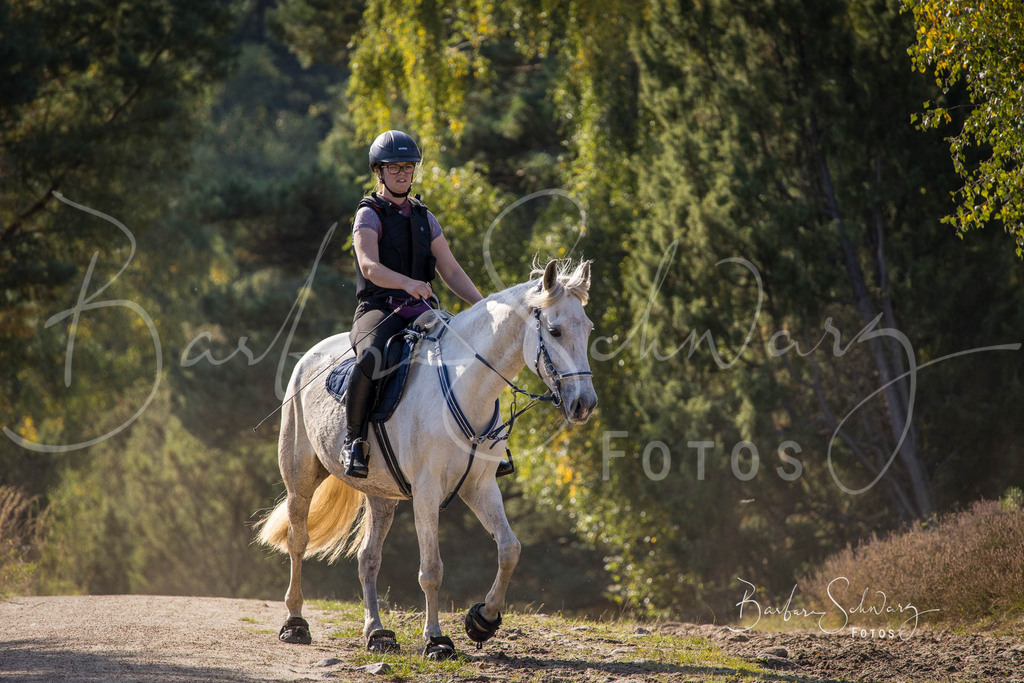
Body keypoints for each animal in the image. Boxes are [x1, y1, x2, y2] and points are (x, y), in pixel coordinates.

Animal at [256, 259, 598, 658]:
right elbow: (431, 570)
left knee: (368, 559)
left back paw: (377, 633)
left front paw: (482, 620)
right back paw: (295, 624)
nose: (584, 404)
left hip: (381, 496)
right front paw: (436, 639)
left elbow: (509, 549)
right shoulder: (427, 492)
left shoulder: (480, 487)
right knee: (298, 541)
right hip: (300, 480)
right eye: (555, 331)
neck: (465, 385)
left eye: (587, 329)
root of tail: (309, 357)